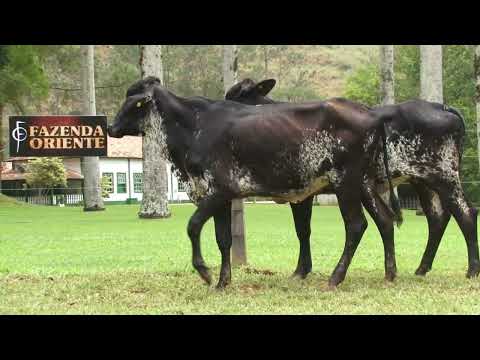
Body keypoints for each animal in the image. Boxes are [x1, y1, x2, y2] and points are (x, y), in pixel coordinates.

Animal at [109, 76, 402, 290]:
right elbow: (223, 239)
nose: (111, 128)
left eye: (134, 103)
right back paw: (389, 274)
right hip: (363, 184)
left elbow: (193, 226)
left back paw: (336, 277)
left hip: (346, 183)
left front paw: (205, 272)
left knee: (356, 225)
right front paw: (223, 282)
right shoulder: (222, 197)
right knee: (384, 220)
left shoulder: (220, 191)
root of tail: (371, 115)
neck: (194, 125)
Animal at [226, 77, 480, 280]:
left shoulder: (301, 194)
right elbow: (304, 230)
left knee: (465, 214)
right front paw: (303, 270)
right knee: (435, 218)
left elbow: (302, 230)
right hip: (420, 181)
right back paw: (420, 269)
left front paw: (300, 271)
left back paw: (472, 270)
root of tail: (442, 106)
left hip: (444, 175)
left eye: (240, 94)